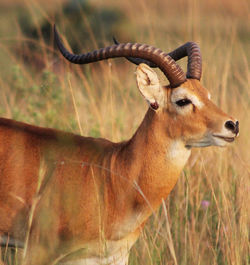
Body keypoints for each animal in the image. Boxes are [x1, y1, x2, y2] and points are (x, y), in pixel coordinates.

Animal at [0, 25, 239, 264]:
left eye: (206, 95)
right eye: (182, 100)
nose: (232, 125)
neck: (114, 177)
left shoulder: (114, 256)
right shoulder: (37, 251)